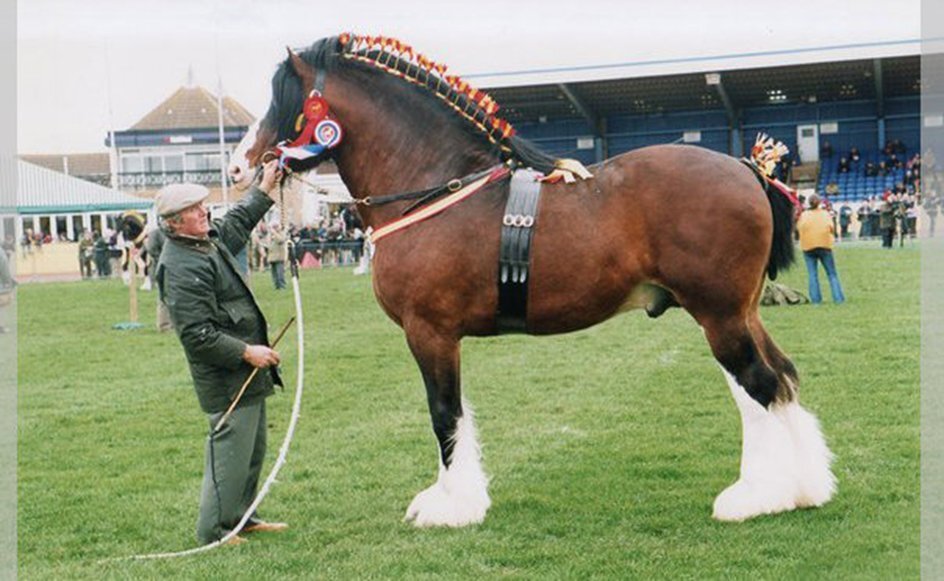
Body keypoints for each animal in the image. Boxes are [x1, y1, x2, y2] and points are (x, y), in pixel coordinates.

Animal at [229, 35, 832, 524]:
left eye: (282, 101)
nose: (236, 167)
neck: (436, 186)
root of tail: (747, 169)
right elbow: (453, 412)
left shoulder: (430, 332)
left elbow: (444, 412)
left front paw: (452, 507)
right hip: (740, 313)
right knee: (777, 381)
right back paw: (803, 488)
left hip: (719, 315)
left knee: (759, 384)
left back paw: (757, 497)